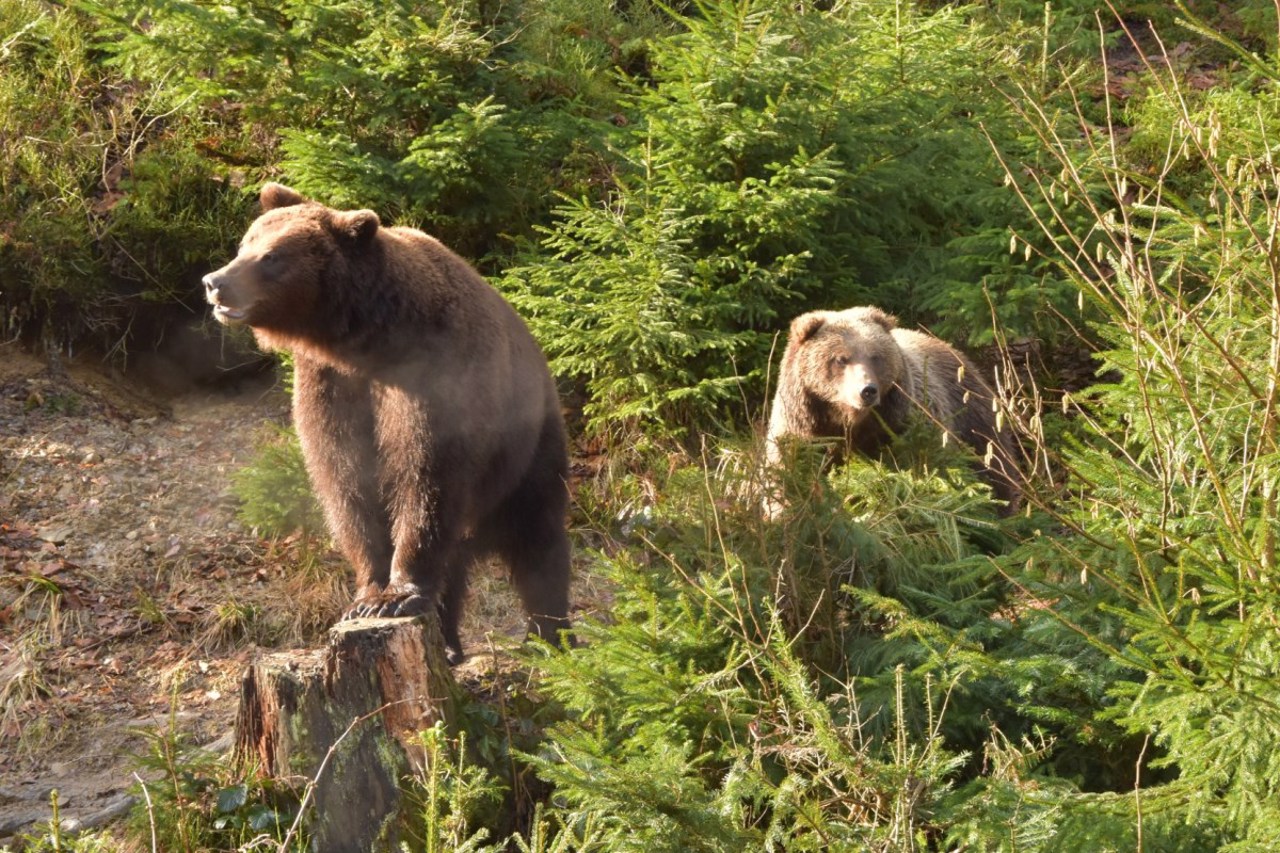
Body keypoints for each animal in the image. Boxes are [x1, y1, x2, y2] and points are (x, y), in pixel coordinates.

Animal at [203, 179, 570, 660]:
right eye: (245, 243)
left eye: (272, 257)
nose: (216, 282)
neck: (366, 340)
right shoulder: (332, 387)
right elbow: (346, 482)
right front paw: (366, 596)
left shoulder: (433, 378)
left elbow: (425, 479)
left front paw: (395, 596)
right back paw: (449, 645)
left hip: (526, 449)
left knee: (539, 542)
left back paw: (550, 638)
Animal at [757, 307, 1018, 512]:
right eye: (840, 359)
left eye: (875, 356)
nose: (867, 390)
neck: (848, 421)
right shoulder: (802, 430)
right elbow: (786, 477)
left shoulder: (902, 426)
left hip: (972, 417)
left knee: (995, 471)